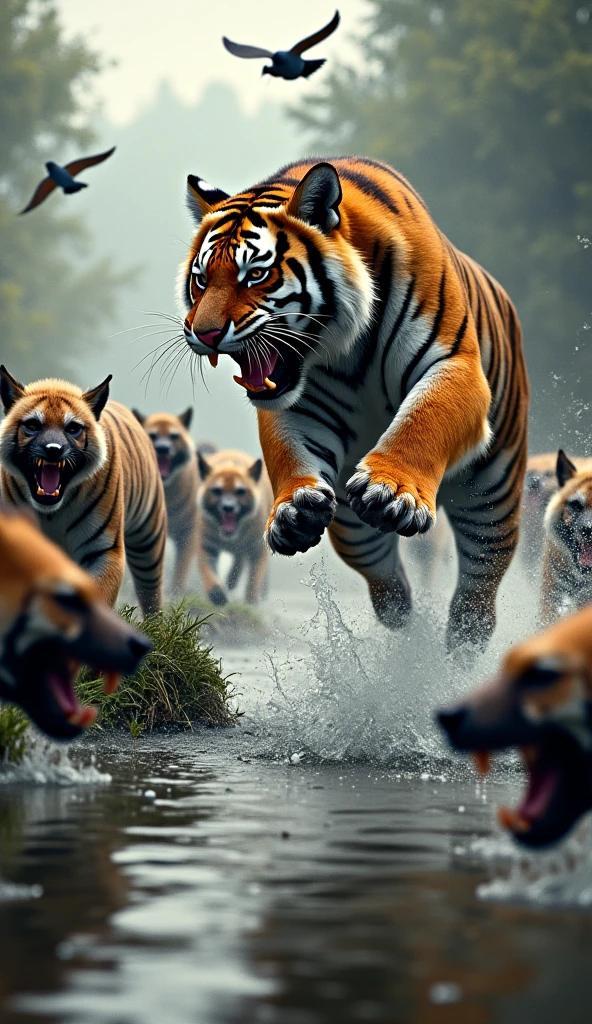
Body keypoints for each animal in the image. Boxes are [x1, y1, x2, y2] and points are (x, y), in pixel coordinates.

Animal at [0, 367, 167, 615]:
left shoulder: (103, 551)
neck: (51, 512)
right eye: (33, 425)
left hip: (148, 540)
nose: (53, 450)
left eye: (73, 428)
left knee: (151, 594)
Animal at [132, 407, 202, 594]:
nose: (163, 448)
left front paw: (176, 592)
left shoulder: (188, 532)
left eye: (173, 435)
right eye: (153, 435)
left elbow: (181, 569)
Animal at [196, 449, 273, 605]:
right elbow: (208, 571)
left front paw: (251, 601)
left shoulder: (258, 548)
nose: (228, 507)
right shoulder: (206, 544)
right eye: (217, 490)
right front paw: (217, 596)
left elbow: (254, 578)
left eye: (240, 491)